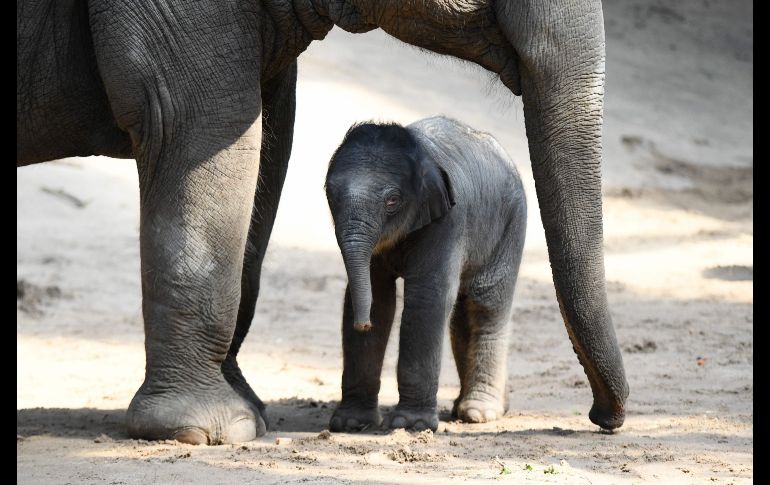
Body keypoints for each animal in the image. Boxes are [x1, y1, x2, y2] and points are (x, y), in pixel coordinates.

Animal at [325, 117, 527, 432]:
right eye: (330, 195)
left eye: (392, 201)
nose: (363, 324)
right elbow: (379, 299)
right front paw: (351, 423)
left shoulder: (449, 220)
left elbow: (427, 299)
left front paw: (412, 424)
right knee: (462, 315)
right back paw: (474, 408)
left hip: (511, 223)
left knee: (486, 305)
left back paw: (479, 413)